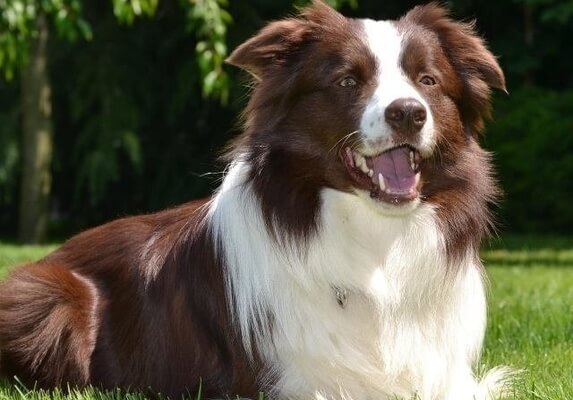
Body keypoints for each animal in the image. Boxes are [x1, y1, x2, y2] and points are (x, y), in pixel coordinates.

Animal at [0, 3, 510, 400]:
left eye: (428, 80)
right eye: (348, 81)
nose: (408, 113)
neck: (375, 244)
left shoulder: (448, 377)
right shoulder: (295, 381)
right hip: (51, 298)